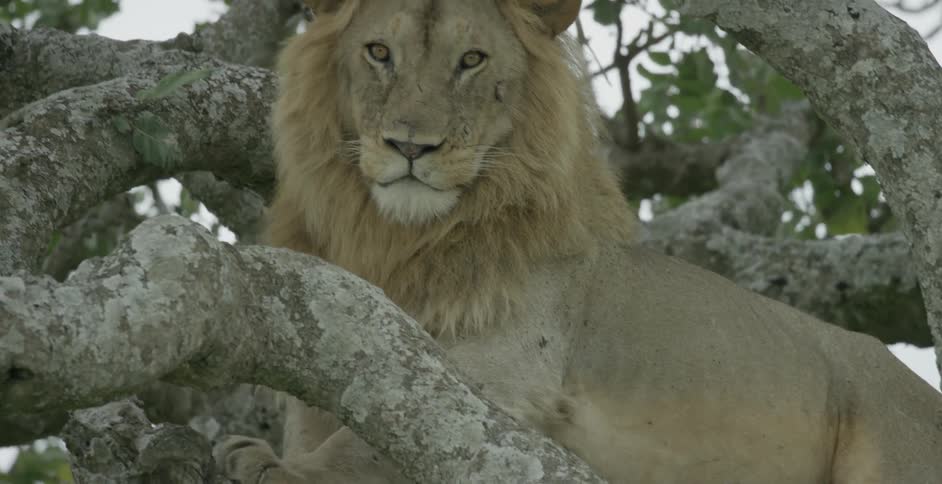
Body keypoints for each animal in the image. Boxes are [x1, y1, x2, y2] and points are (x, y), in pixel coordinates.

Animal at [215, 0, 942, 482]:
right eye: (378, 53)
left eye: (471, 61)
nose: (410, 147)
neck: (401, 242)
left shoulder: (513, 373)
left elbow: (381, 422)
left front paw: (278, 470)